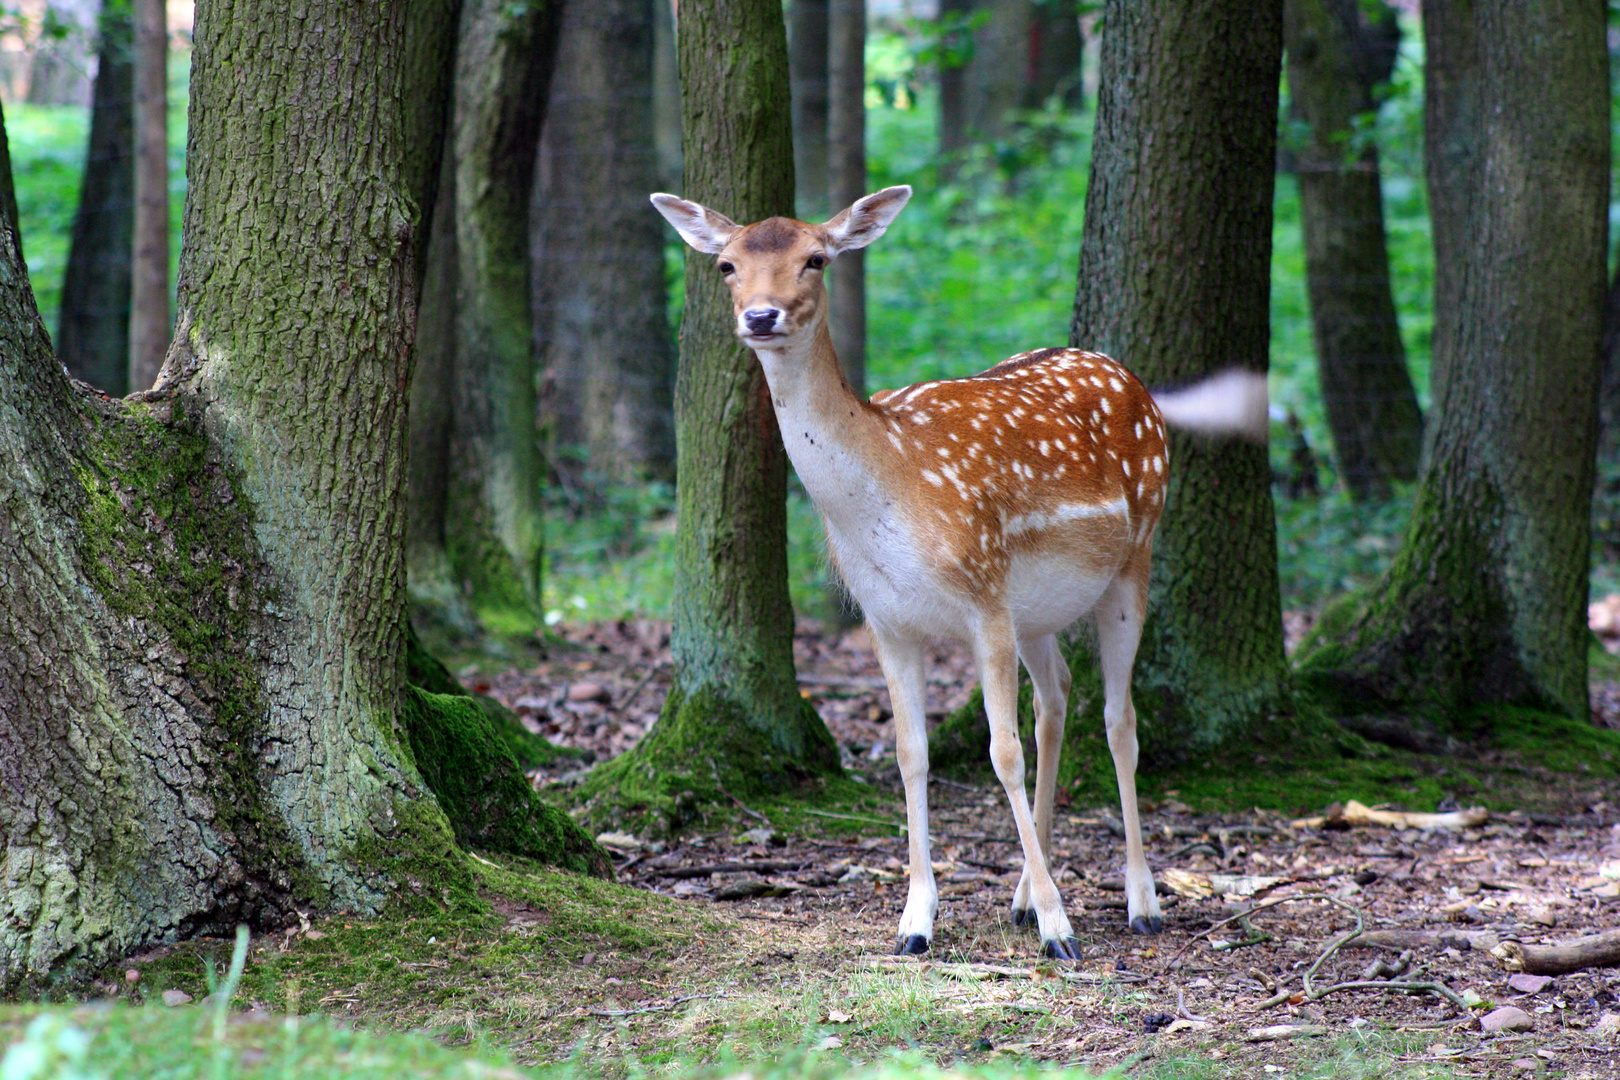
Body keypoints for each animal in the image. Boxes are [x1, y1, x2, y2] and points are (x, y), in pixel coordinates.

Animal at [651, 187, 1270, 965]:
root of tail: (1134, 381)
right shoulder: (886, 618)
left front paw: (1061, 929)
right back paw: (1022, 898)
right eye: (727, 264)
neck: (886, 487)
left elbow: (1000, 752)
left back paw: (1140, 902)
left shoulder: (982, 593)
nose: (760, 316)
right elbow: (911, 754)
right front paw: (916, 921)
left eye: (816, 258)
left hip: (1135, 553)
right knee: (1057, 696)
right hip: (1034, 605)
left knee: (1119, 719)